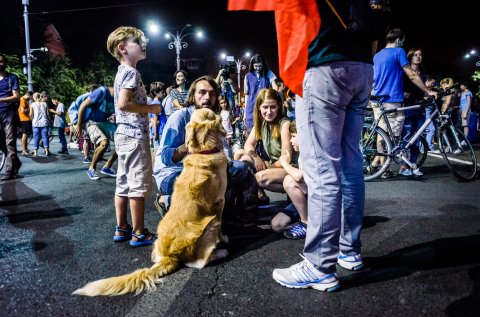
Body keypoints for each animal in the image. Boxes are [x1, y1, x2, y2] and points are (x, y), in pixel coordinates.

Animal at [73, 108, 231, 296]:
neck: (203, 151)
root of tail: (170, 257)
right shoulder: (220, 202)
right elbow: (221, 227)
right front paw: (224, 238)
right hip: (211, 223)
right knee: (198, 262)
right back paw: (221, 252)